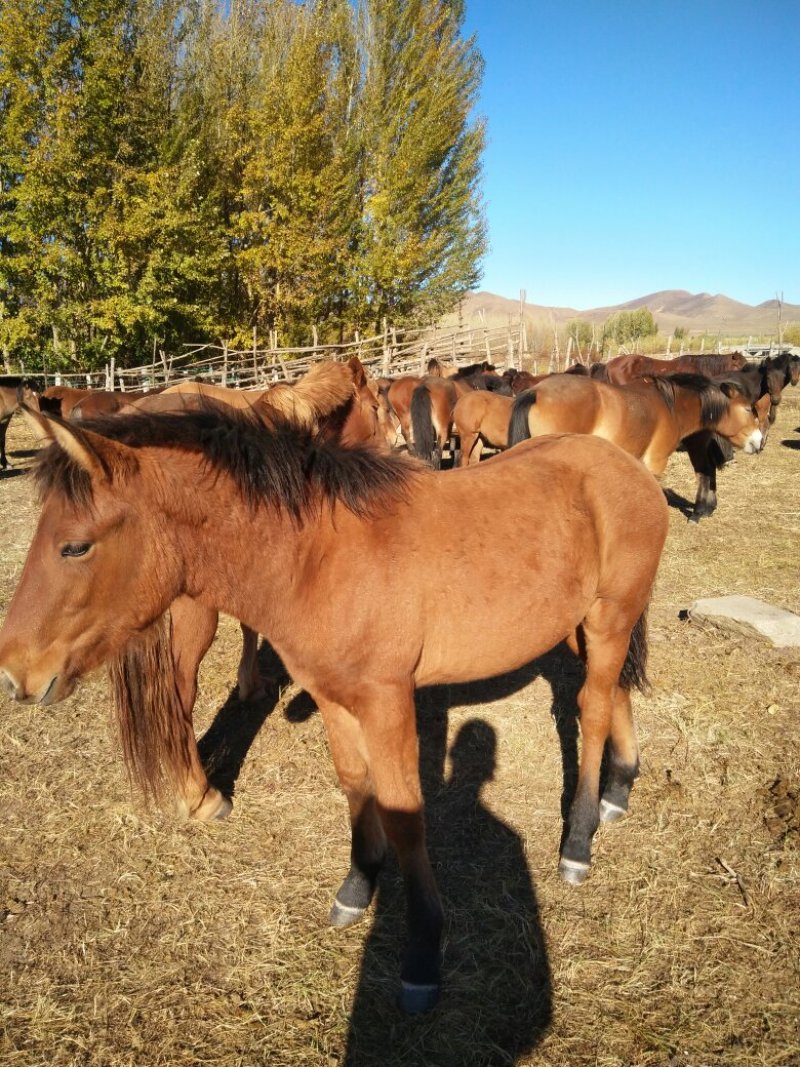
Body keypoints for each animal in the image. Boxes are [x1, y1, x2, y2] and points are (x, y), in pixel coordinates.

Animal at [0, 404, 668, 1012]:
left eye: (75, 547)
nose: (15, 674)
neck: (318, 559)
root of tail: (628, 468)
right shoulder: (332, 697)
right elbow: (354, 783)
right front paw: (357, 884)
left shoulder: (387, 701)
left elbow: (404, 813)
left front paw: (422, 951)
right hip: (583, 628)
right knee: (611, 694)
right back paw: (619, 790)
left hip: (608, 620)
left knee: (592, 709)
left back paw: (577, 841)